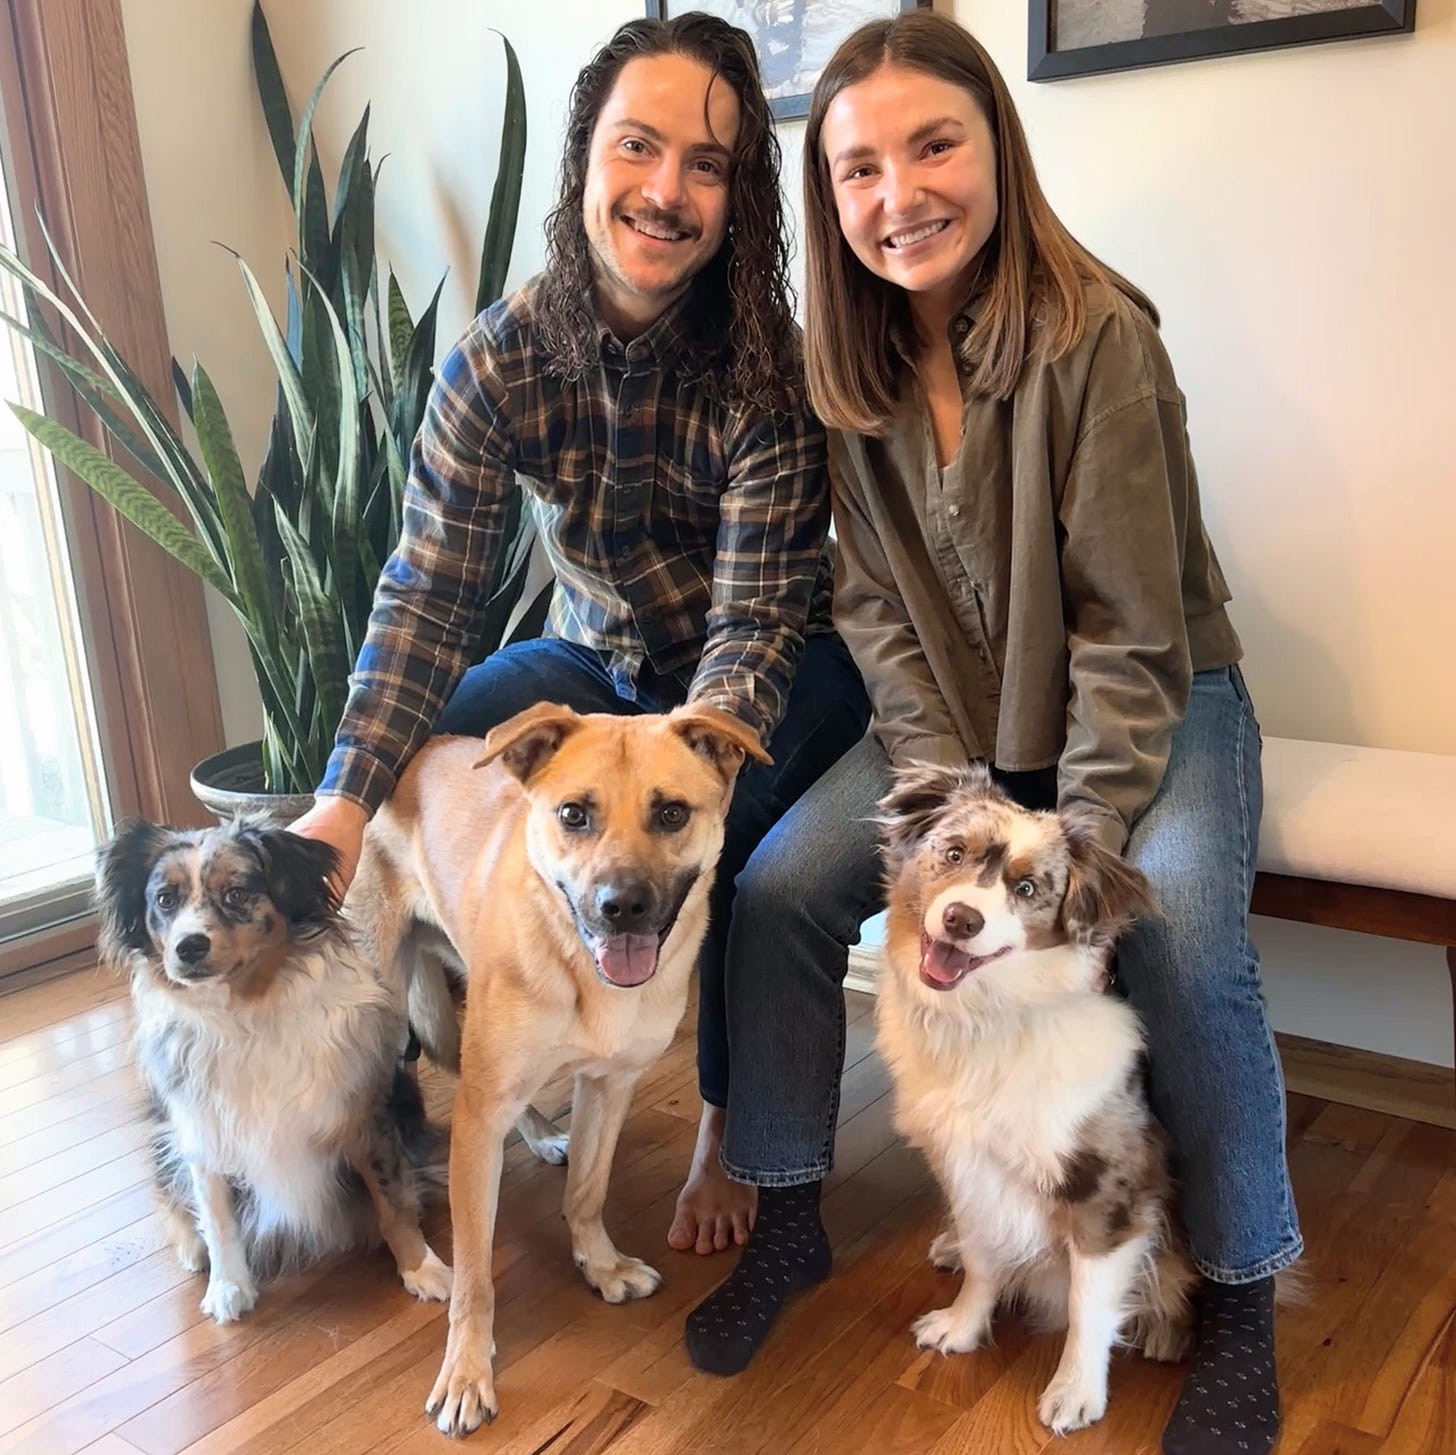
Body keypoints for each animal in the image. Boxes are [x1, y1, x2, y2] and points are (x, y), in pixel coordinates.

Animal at [352, 702, 768, 1433]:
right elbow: (476, 1274)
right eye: (574, 814)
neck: (581, 964)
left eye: (671, 813)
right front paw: (466, 1371)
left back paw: (545, 1133)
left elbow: (587, 1192)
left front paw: (598, 1264)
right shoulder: (480, 1115)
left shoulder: (609, 1085)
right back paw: (415, 1259)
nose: (621, 905)